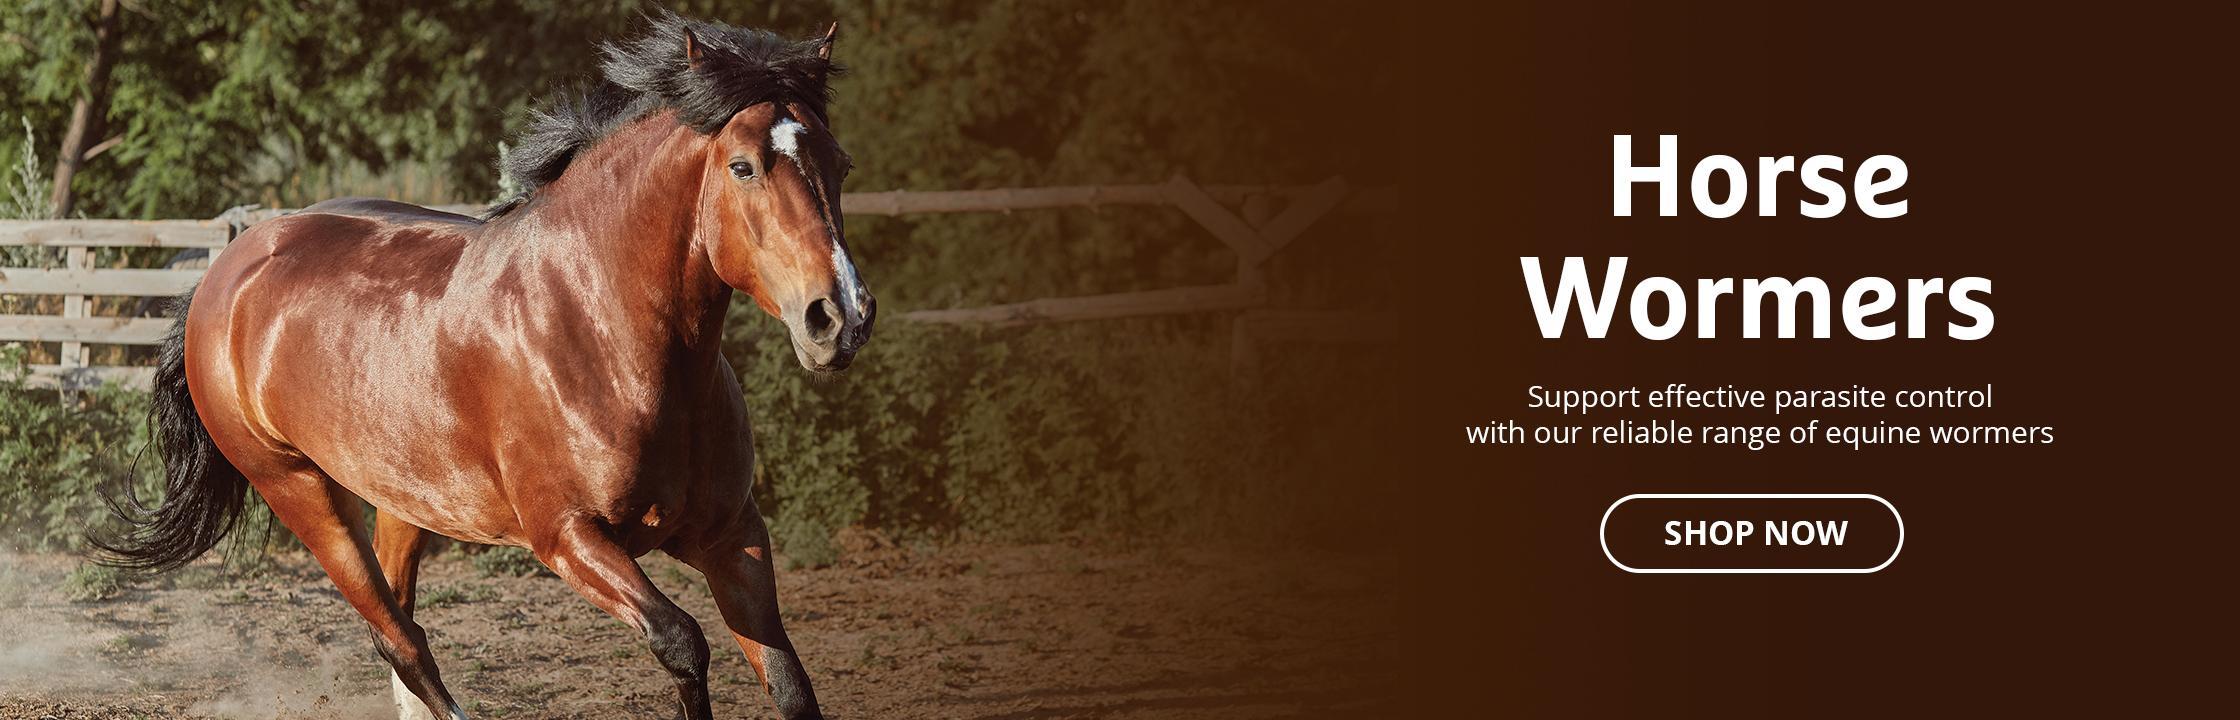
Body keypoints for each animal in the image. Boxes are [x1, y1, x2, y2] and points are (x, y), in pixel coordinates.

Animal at [92, 14, 866, 720]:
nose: (841, 317)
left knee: (403, 632)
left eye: (841, 164)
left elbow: (791, 686)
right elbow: (682, 642)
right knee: (398, 640)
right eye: (743, 166)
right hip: (299, 491)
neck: (601, 331)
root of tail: (228, 269)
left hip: (403, 497)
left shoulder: (732, 535)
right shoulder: (568, 537)